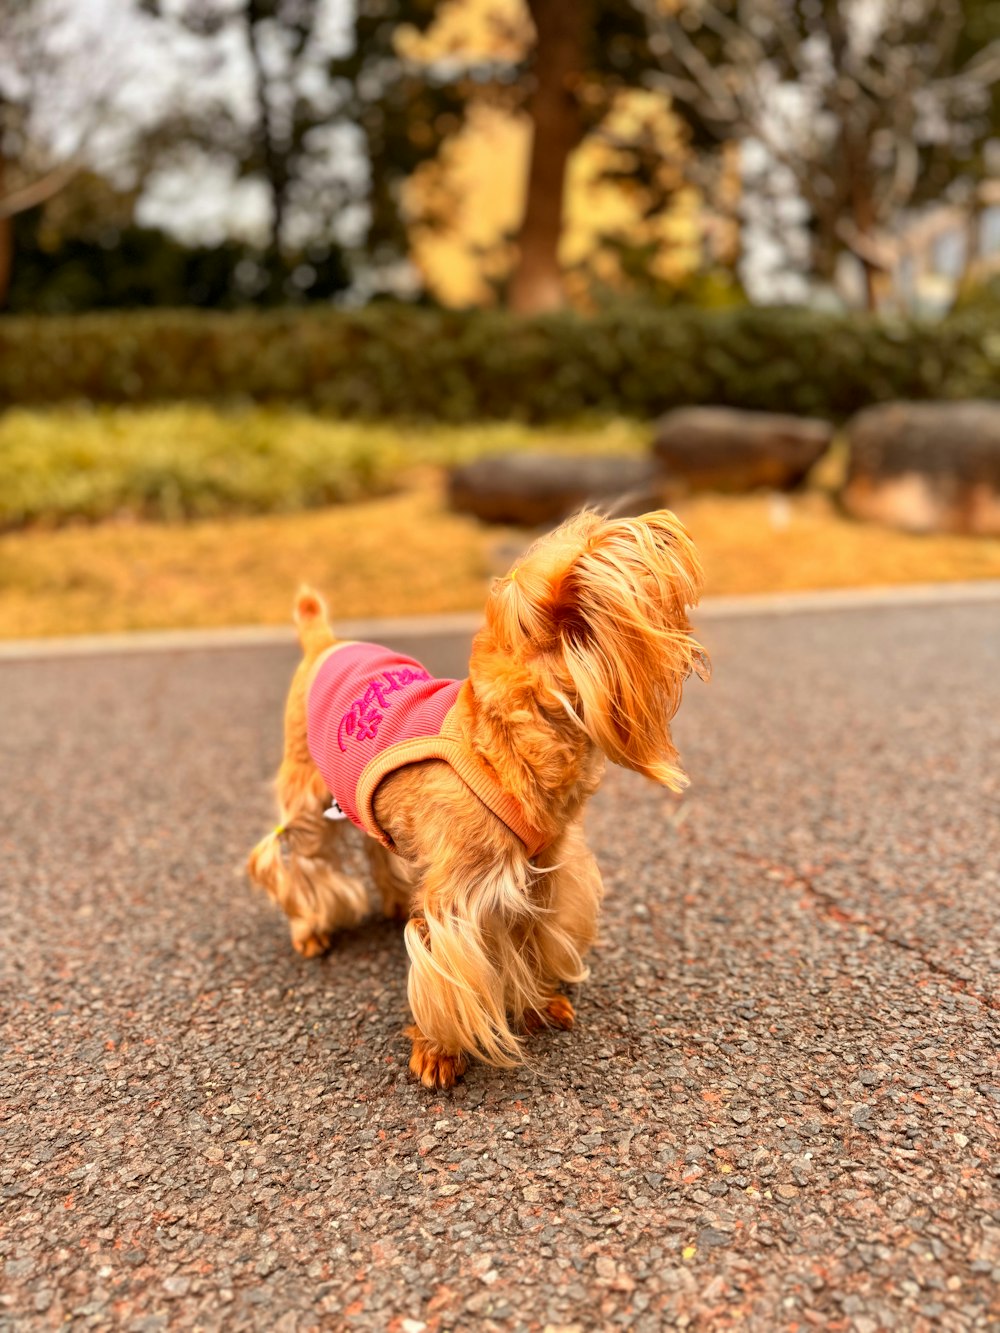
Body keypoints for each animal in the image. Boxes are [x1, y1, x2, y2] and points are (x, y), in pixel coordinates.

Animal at [246, 503, 709, 1087]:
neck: (496, 742)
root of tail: (323, 641)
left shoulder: (541, 873)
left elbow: (532, 941)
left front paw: (539, 1004)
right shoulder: (458, 896)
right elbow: (450, 971)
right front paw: (440, 1053)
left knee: (375, 842)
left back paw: (394, 899)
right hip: (306, 792)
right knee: (301, 860)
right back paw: (310, 929)